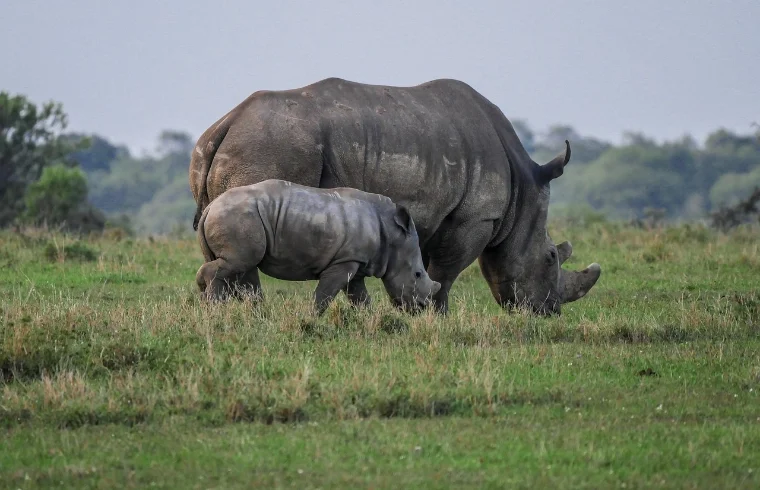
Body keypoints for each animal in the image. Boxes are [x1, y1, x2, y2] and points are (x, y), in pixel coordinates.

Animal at [195, 178, 441, 315]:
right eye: (417, 274)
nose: (422, 308)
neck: (392, 234)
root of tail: (210, 207)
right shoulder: (344, 261)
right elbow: (324, 294)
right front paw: (309, 319)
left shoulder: (355, 262)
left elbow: (360, 298)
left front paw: (372, 321)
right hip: (238, 217)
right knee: (239, 263)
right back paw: (215, 308)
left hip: (235, 216)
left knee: (239, 267)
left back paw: (216, 306)